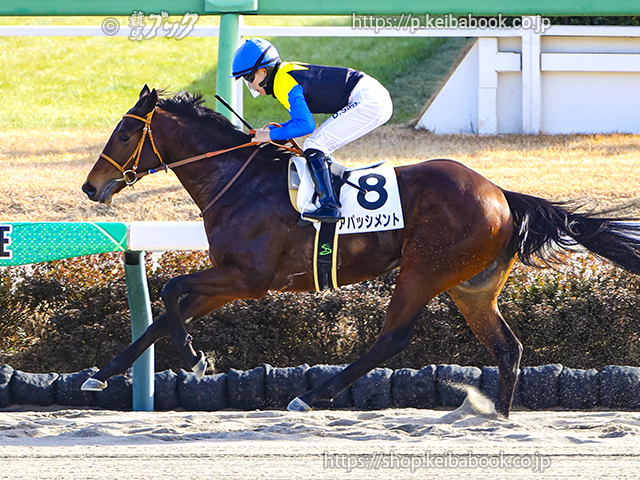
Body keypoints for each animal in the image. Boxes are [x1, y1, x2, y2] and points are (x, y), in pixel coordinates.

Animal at [81, 85, 640, 418]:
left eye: (125, 132)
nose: (91, 187)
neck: (237, 182)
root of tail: (501, 193)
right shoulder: (228, 277)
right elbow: (160, 317)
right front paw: (99, 375)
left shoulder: (248, 279)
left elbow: (170, 290)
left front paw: (196, 358)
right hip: (470, 287)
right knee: (507, 348)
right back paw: (498, 418)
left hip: (423, 269)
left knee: (392, 338)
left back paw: (310, 395)